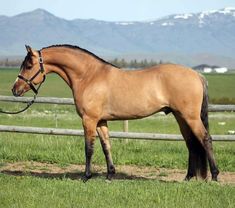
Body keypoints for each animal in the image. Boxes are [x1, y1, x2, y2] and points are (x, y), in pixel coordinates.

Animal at [12, 44, 218, 181]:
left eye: (28, 65)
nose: (15, 89)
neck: (89, 76)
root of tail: (196, 74)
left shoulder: (89, 120)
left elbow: (89, 148)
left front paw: (86, 176)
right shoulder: (101, 121)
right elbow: (106, 146)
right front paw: (110, 175)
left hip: (190, 117)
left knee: (205, 139)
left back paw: (215, 176)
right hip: (180, 117)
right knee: (191, 143)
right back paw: (188, 177)